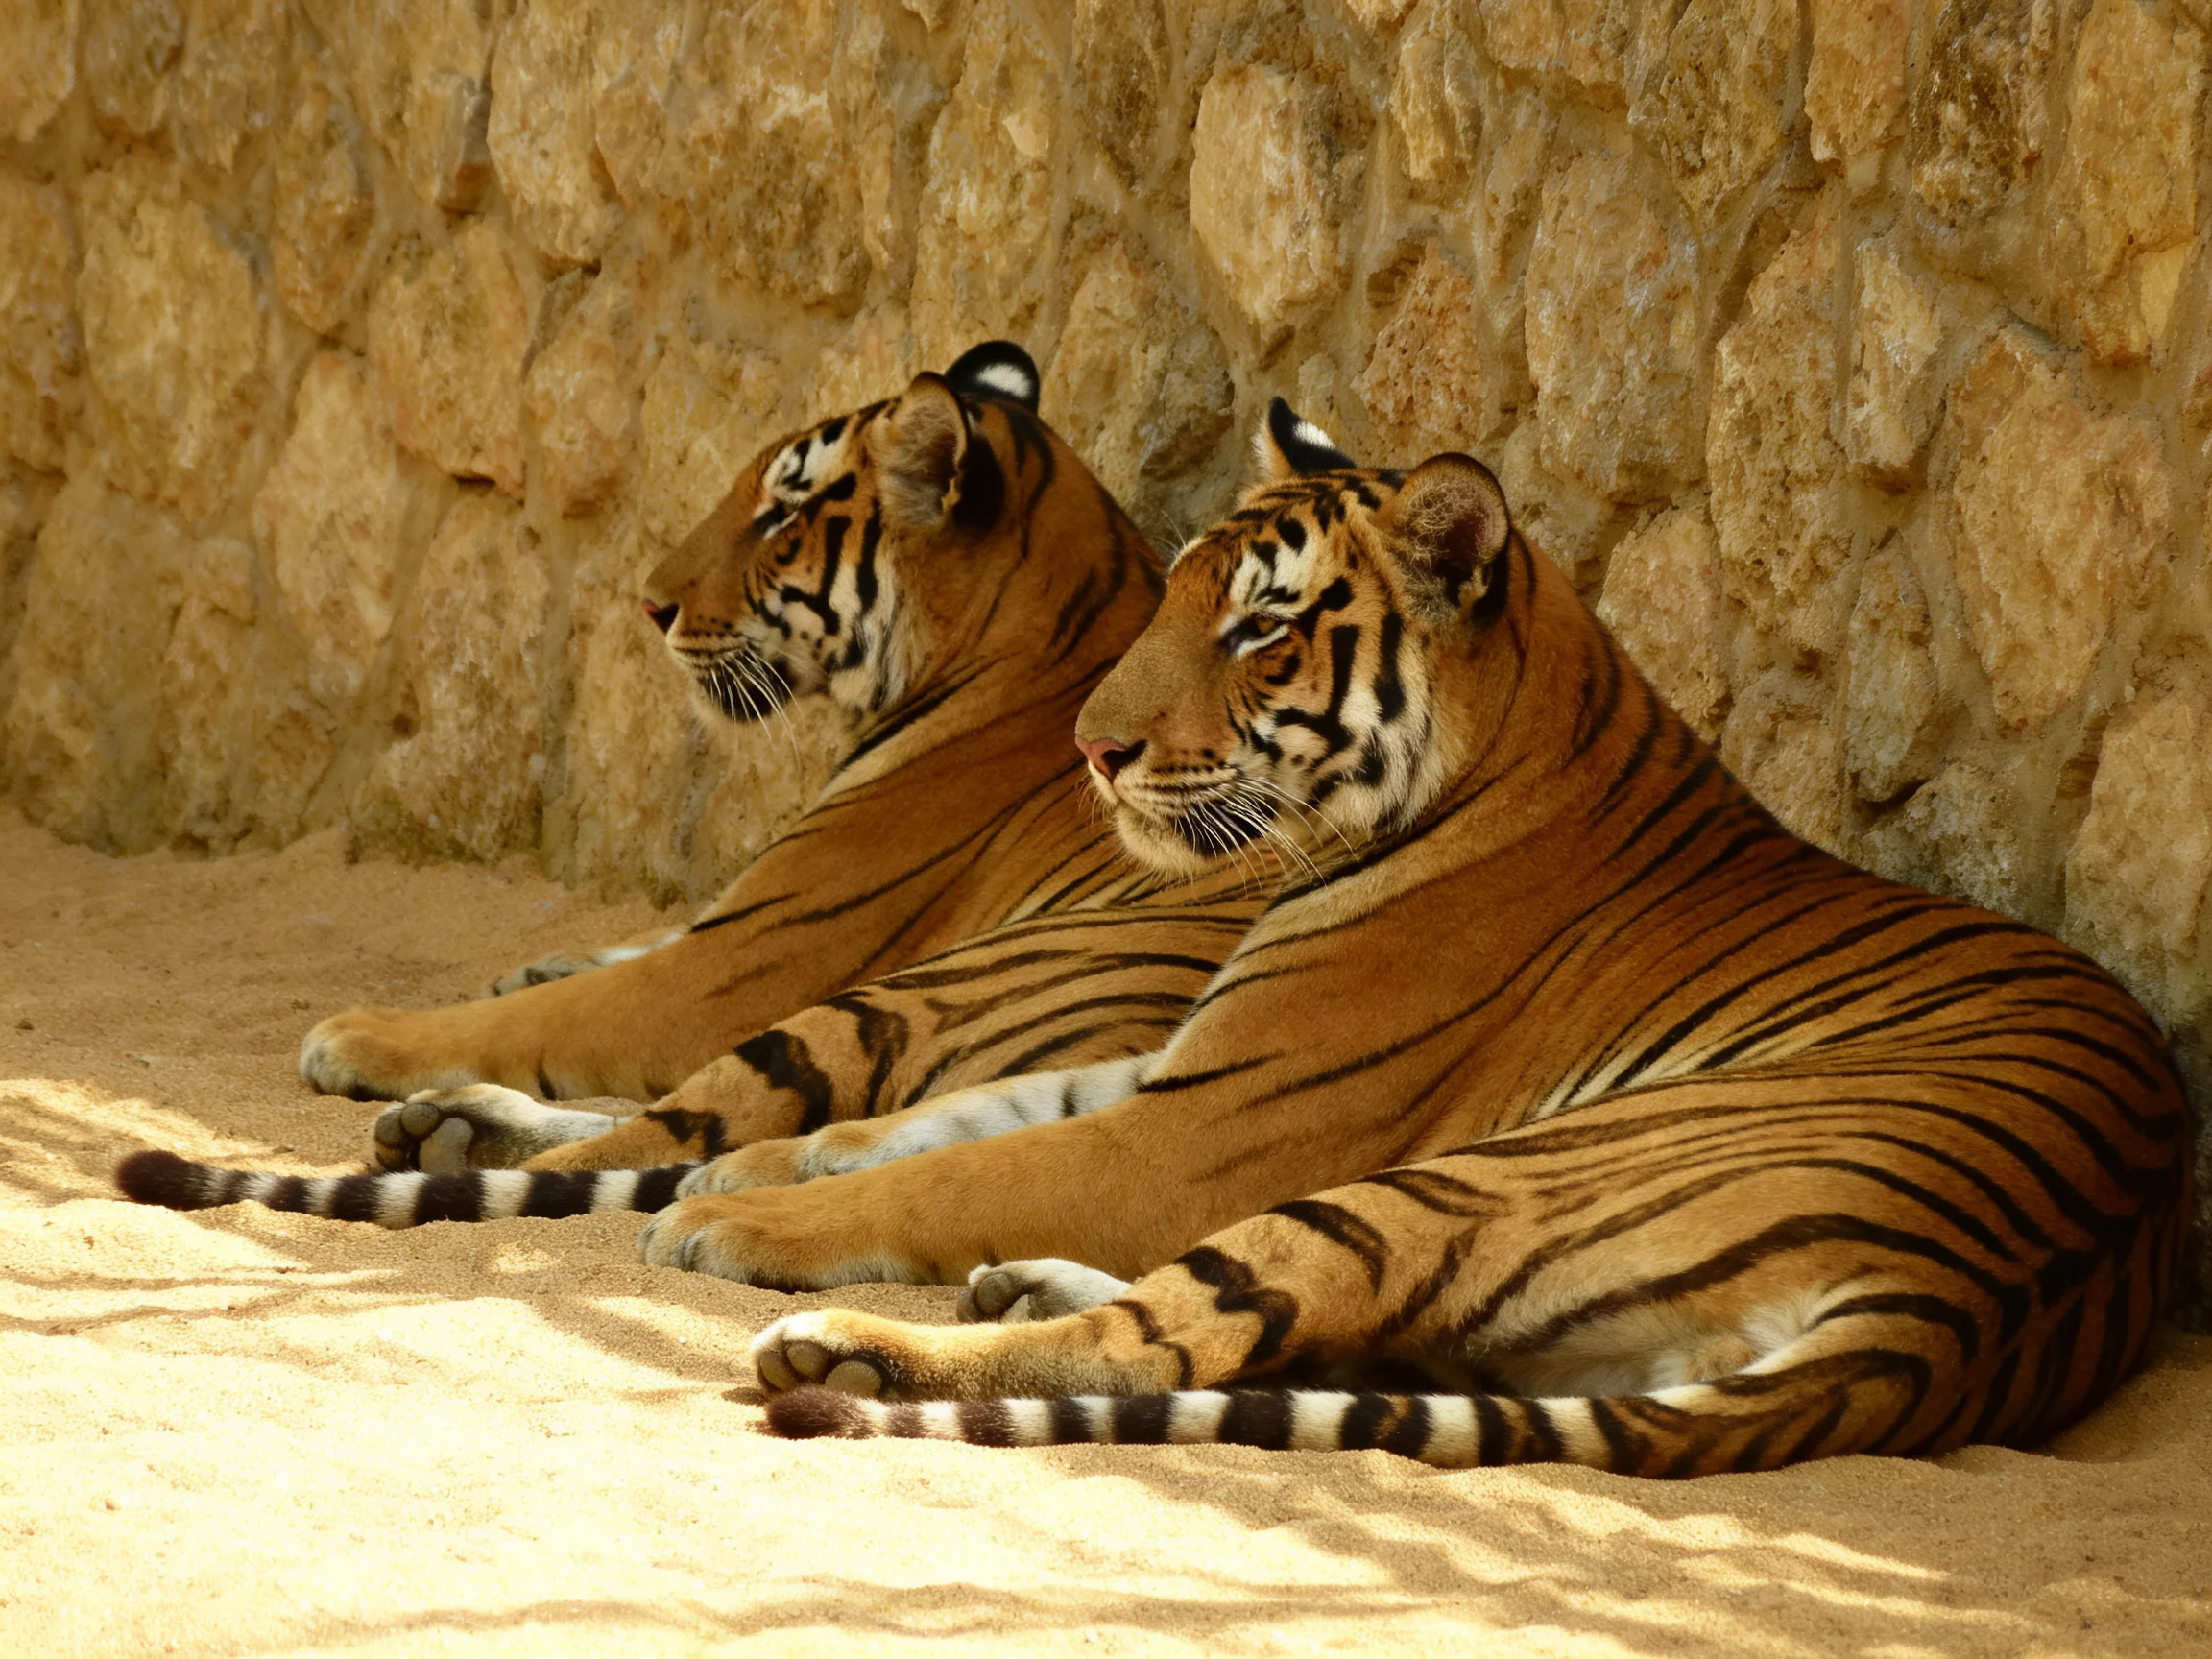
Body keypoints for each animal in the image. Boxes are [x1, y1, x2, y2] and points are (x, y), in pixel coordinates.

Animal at [231, 342, 1266, 1173]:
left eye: (781, 518)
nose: (651, 605)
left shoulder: (730, 962)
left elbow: (539, 1015)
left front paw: (365, 1031)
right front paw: (538, 963)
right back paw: (450, 1127)